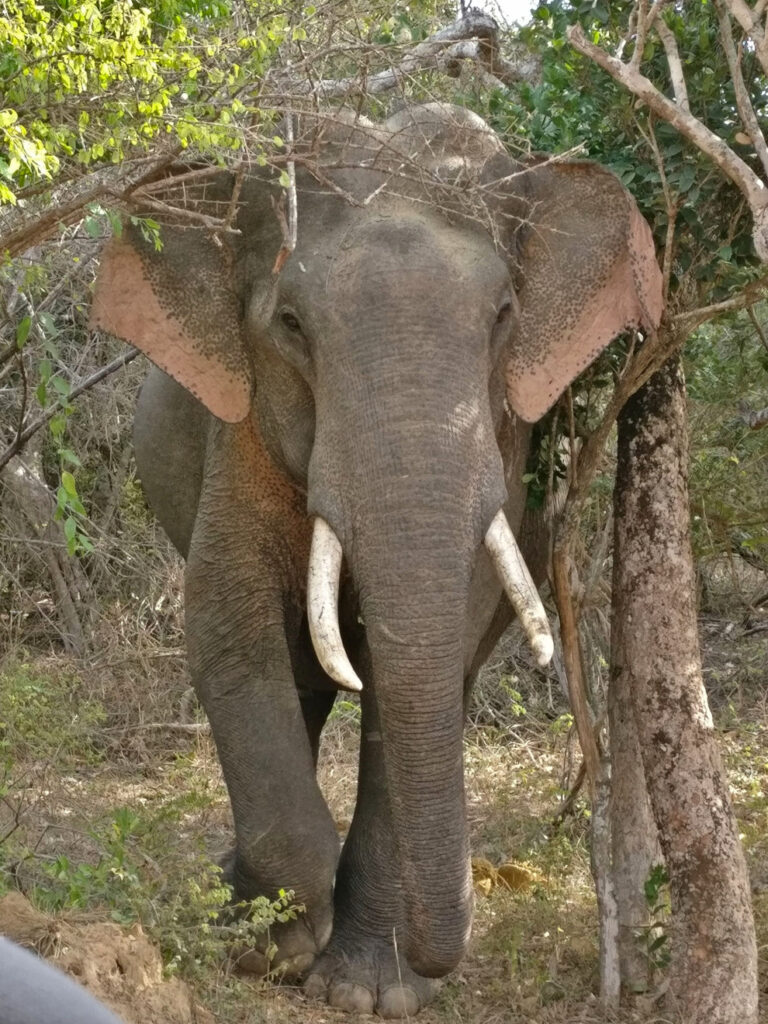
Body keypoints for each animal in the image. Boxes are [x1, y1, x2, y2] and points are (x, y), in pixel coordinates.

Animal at [91, 103, 662, 1017]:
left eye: (503, 315)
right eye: (290, 325)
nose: (438, 954)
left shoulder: (509, 446)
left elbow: (442, 646)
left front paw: (368, 992)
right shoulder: (240, 431)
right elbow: (227, 620)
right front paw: (277, 941)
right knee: (300, 675)